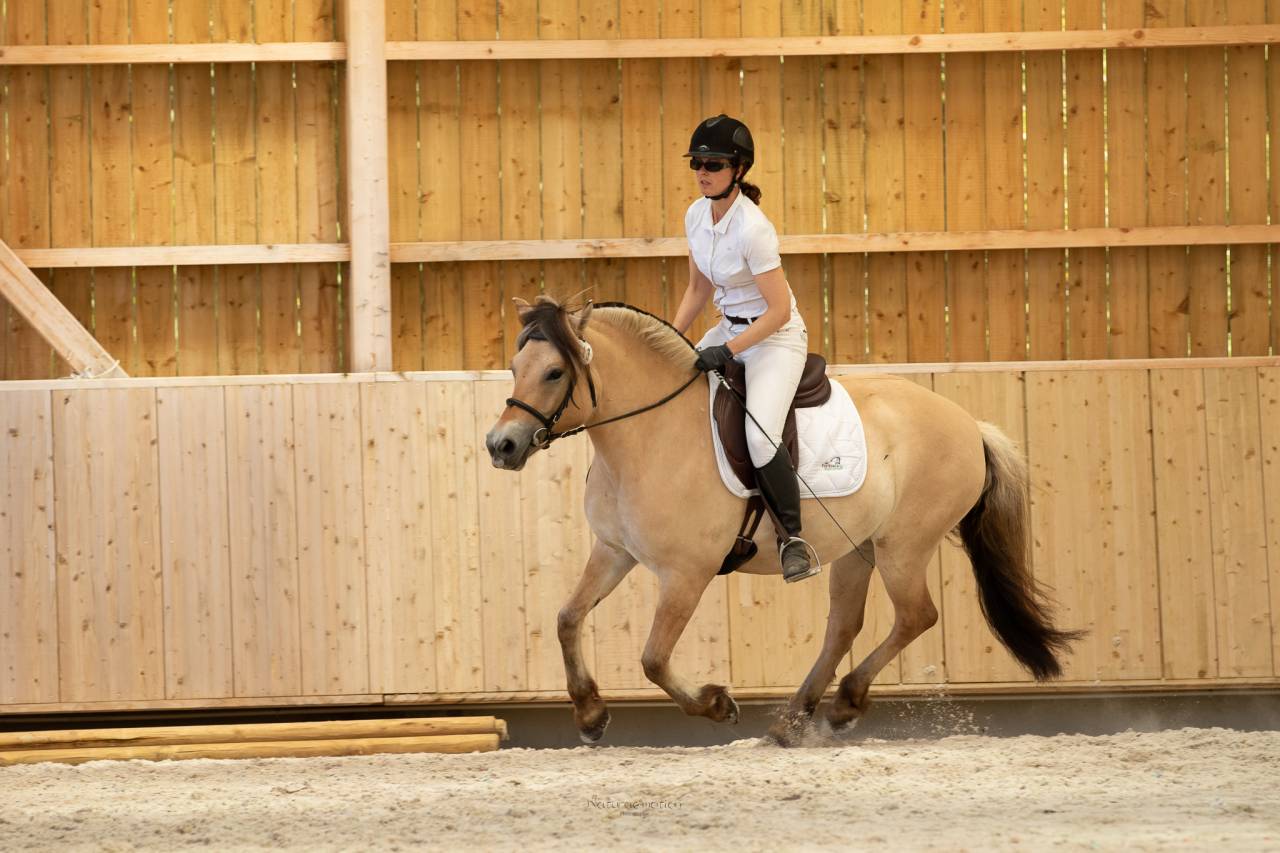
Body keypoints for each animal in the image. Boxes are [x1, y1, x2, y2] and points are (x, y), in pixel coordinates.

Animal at [484, 294, 1082, 746]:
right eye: (514, 369)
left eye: (554, 372)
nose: (501, 445)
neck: (648, 435)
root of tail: (968, 424)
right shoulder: (615, 551)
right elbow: (567, 618)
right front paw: (589, 715)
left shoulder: (687, 573)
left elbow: (653, 658)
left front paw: (717, 704)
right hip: (858, 547)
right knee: (844, 626)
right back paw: (795, 719)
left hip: (903, 545)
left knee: (916, 616)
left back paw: (842, 705)